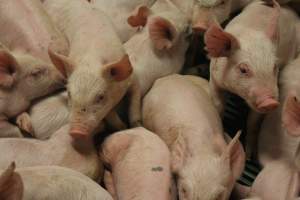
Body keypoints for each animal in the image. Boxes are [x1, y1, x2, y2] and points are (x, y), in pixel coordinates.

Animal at [43, 0, 142, 139]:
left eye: (100, 97)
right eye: (69, 94)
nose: (76, 132)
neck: (91, 58)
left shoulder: (133, 78)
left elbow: (135, 102)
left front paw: (136, 126)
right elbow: (110, 115)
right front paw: (122, 128)